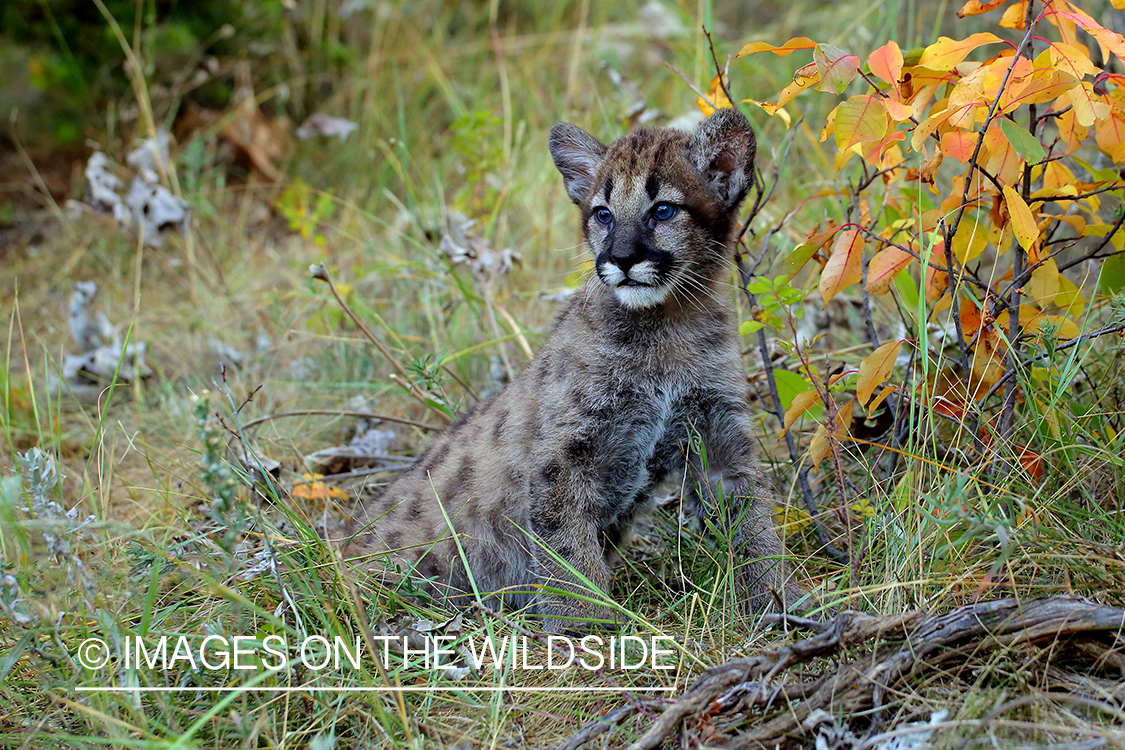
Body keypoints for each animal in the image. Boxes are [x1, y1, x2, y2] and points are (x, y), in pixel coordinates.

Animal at [344, 106, 810, 634]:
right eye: (602, 214)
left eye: (663, 210)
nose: (621, 259)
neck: (668, 327)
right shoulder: (563, 456)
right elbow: (566, 548)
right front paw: (586, 624)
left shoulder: (718, 434)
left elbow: (753, 521)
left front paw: (780, 598)